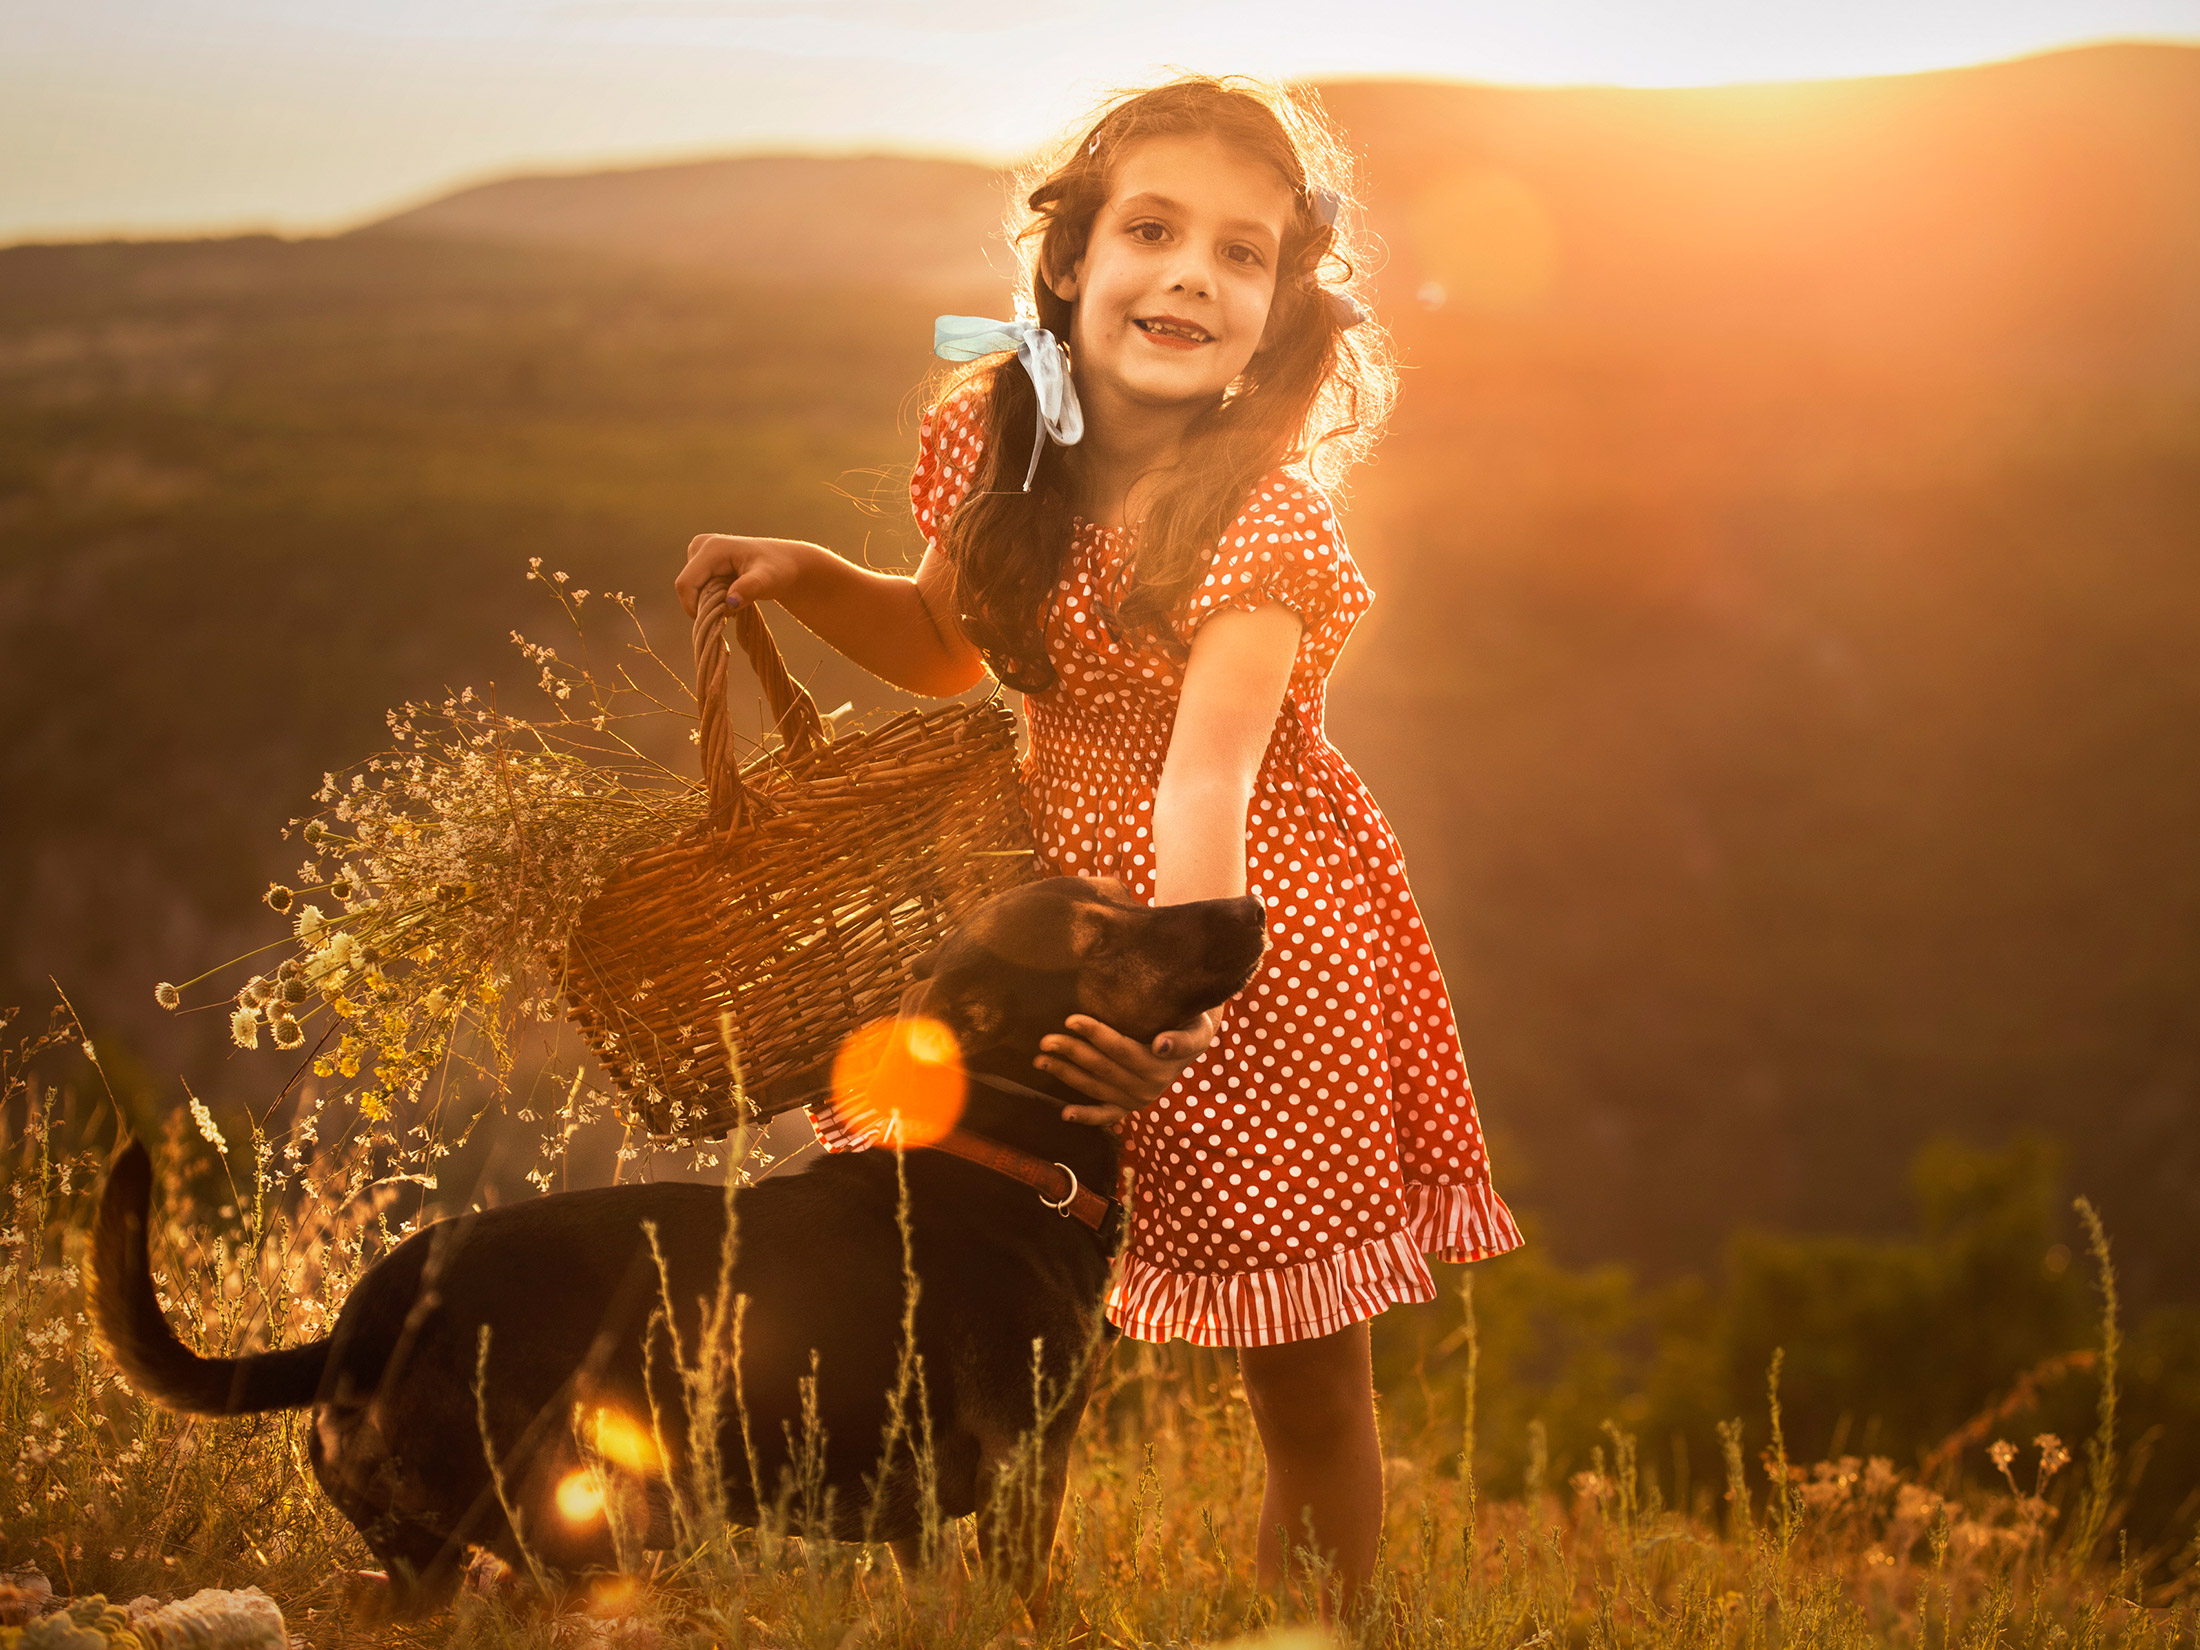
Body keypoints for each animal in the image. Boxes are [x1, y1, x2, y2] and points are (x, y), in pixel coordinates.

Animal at [94, 884, 1267, 1619]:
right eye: (1099, 938)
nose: (1251, 907)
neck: (996, 1157)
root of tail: (360, 1324)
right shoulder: (1028, 1471)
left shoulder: (921, 1513)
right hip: (558, 1532)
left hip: (442, 1555)